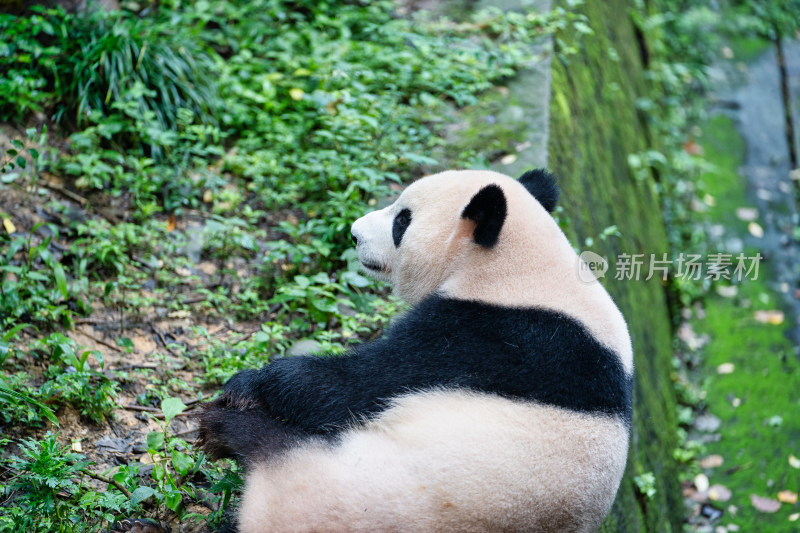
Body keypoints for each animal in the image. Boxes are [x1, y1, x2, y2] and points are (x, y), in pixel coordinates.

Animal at [197, 167, 636, 532]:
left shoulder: (486, 338)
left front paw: (252, 382)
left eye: (401, 220)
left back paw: (226, 430)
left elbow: (358, 386)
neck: (522, 268)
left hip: (348, 486)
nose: (354, 233)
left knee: (282, 453)